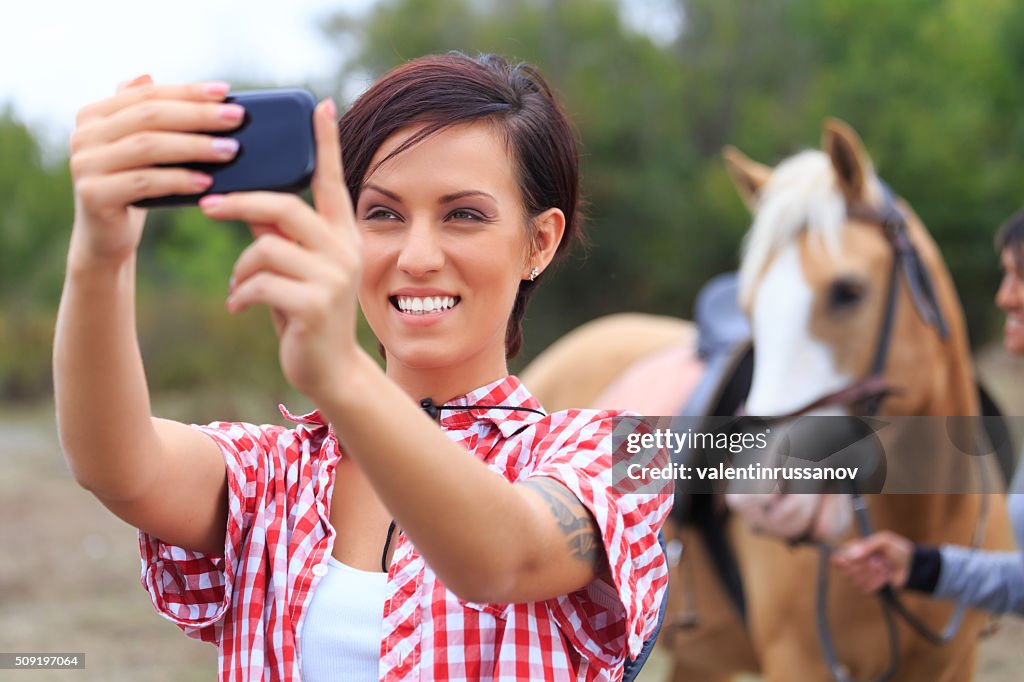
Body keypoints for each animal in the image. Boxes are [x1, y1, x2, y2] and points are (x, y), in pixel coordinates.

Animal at [524, 119, 1011, 675]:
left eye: (848, 292)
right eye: (751, 305)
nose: (762, 493)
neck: (922, 516)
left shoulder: (953, 664)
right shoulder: (798, 662)